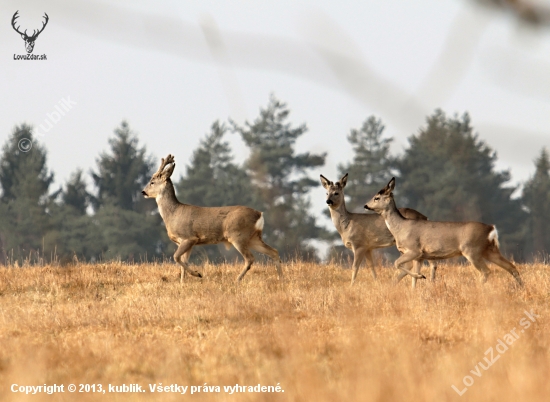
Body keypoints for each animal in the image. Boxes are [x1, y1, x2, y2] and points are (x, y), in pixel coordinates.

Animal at [142, 154, 284, 282]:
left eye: (152, 182)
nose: (143, 192)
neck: (173, 214)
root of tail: (259, 214)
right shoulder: (184, 242)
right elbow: (183, 262)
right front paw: (183, 283)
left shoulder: (189, 237)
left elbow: (176, 257)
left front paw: (197, 274)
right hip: (252, 237)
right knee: (274, 251)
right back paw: (281, 279)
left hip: (237, 235)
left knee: (250, 258)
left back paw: (237, 279)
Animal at [366, 178, 528, 286]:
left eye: (377, 197)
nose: (366, 205)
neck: (400, 227)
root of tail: (491, 229)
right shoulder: (420, 256)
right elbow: (412, 278)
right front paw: (417, 282)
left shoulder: (414, 250)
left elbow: (396, 263)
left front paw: (421, 276)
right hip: (489, 250)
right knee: (511, 267)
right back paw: (521, 288)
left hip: (472, 250)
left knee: (487, 271)